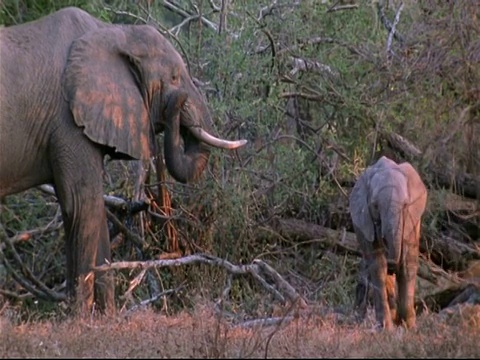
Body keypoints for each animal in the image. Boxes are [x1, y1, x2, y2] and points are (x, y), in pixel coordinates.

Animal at [0, 7, 248, 316]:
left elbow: (87, 212)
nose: (178, 102)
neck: (115, 33)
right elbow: (82, 205)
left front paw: (107, 317)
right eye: (175, 77)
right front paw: (80, 320)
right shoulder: (68, 121)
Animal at [348, 156, 428, 330]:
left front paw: (409, 326)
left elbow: (408, 264)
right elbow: (378, 265)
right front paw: (387, 328)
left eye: (405, 205)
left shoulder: (412, 221)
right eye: (375, 205)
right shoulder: (365, 222)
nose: (393, 265)